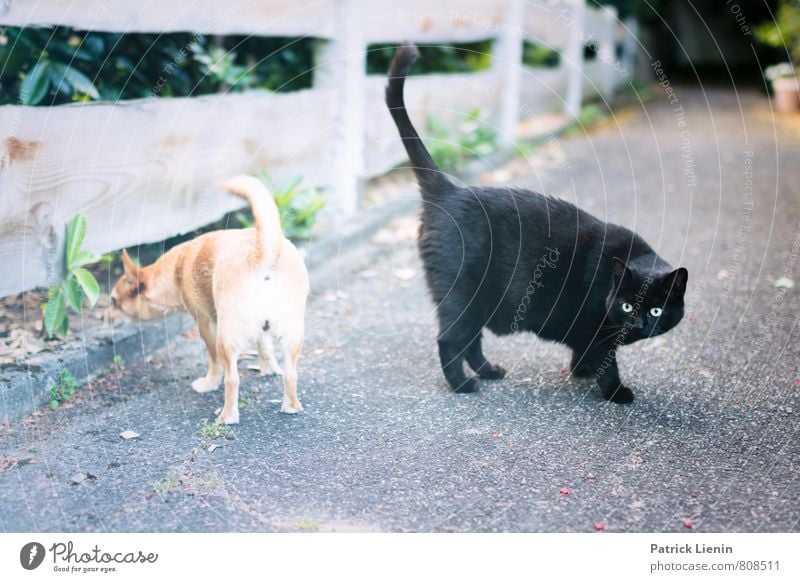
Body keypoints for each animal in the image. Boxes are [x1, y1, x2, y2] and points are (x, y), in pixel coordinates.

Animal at [111, 176, 310, 426]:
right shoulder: (262, 329)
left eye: (113, 302)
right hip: (292, 336)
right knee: (291, 372)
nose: (104, 316)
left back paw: (227, 416)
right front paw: (269, 369)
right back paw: (291, 406)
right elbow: (265, 346)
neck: (176, 269)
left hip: (226, 339)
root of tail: (261, 253)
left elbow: (213, 360)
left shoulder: (204, 323)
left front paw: (209, 383)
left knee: (232, 378)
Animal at [384, 43, 684, 404]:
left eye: (655, 311)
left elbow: (584, 354)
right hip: (463, 296)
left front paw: (581, 372)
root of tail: (449, 192)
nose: (638, 325)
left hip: (479, 302)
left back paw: (489, 372)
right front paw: (615, 391)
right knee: (451, 340)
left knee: (471, 341)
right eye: (627, 306)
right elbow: (606, 361)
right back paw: (464, 385)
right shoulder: (598, 331)